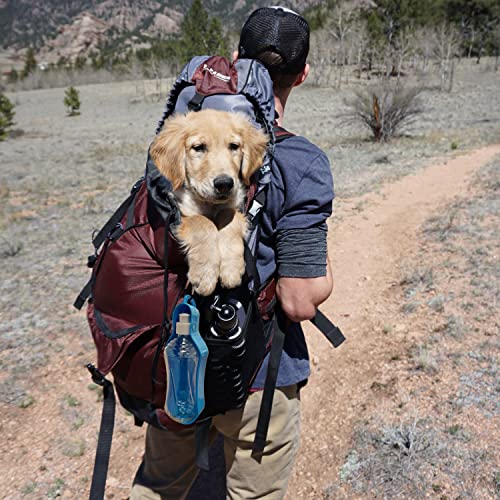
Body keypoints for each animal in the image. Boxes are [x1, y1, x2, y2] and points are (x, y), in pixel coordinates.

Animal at [150, 109, 268, 294]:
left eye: (234, 146)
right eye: (198, 148)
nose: (224, 184)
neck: (210, 205)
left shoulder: (235, 206)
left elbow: (229, 216)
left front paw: (231, 269)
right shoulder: (180, 214)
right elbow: (201, 222)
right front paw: (205, 275)